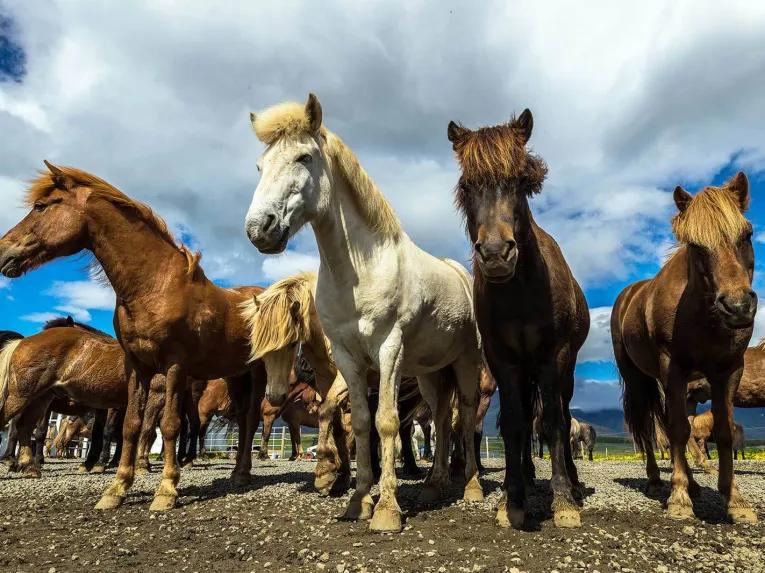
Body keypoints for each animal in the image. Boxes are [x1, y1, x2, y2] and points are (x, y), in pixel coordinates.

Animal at [0, 163, 268, 511]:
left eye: (41, 206)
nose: (3, 250)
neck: (153, 286)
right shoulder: (137, 367)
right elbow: (130, 427)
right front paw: (116, 489)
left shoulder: (174, 367)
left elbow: (168, 426)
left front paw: (166, 490)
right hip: (235, 375)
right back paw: (238, 473)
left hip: (257, 374)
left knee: (251, 419)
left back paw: (243, 473)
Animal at [245, 95, 484, 532]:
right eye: (260, 165)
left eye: (304, 157)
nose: (259, 229)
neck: (360, 270)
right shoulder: (347, 358)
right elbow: (356, 424)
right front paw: (357, 500)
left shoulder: (389, 351)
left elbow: (385, 422)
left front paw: (387, 509)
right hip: (429, 373)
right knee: (442, 418)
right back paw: (433, 484)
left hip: (465, 362)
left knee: (467, 413)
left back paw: (472, 486)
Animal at [447, 109, 589, 528]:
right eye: (467, 185)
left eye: (521, 182)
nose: (496, 254)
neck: (521, 290)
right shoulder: (504, 360)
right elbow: (514, 424)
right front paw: (512, 499)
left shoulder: (553, 356)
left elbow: (555, 423)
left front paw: (563, 500)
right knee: (527, 419)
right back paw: (525, 474)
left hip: (563, 369)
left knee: (562, 412)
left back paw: (573, 482)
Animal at [612, 172, 757, 523]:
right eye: (695, 245)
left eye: (747, 234)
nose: (738, 307)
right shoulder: (672, 368)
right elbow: (676, 429)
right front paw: (678, 498)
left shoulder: (729, 370)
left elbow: (722, 431)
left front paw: (734, 499)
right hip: (638, 378)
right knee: (649, 426)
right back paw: (656, 480)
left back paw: (692, 483)